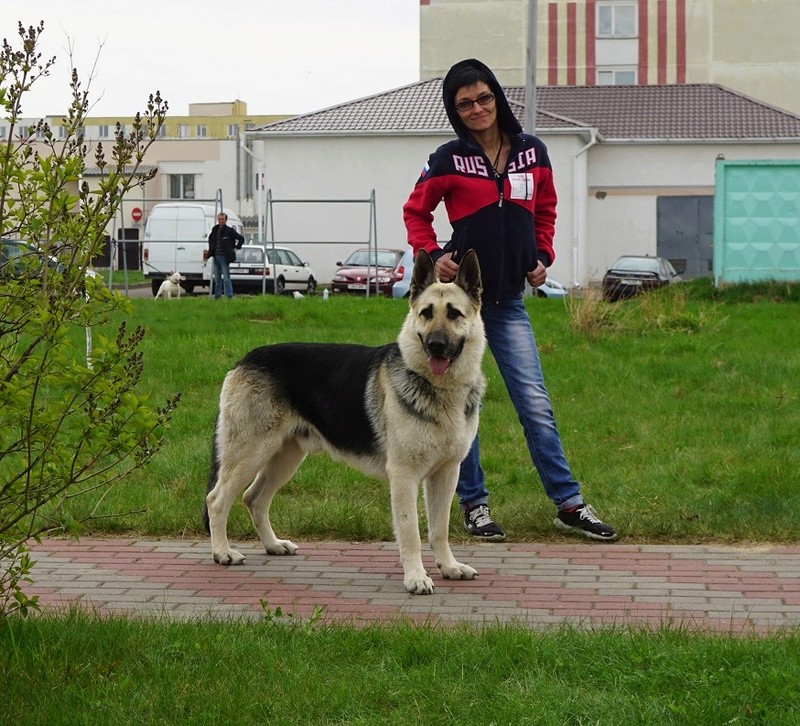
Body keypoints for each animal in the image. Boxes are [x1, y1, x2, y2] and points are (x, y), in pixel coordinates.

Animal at [203, 247, 484, 596]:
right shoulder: (404, 476)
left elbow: (439, 529)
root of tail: (244, 360)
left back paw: (273, 545)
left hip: (284, 458)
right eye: (426, 313)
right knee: (217, 500)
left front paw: (449, 567)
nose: (435, 345)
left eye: (455, 314)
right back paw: (222, 552)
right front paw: (416, 577)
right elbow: (411, 533)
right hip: (250, 454)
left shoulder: (446, 474)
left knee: (253, 499)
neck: (439, 388)